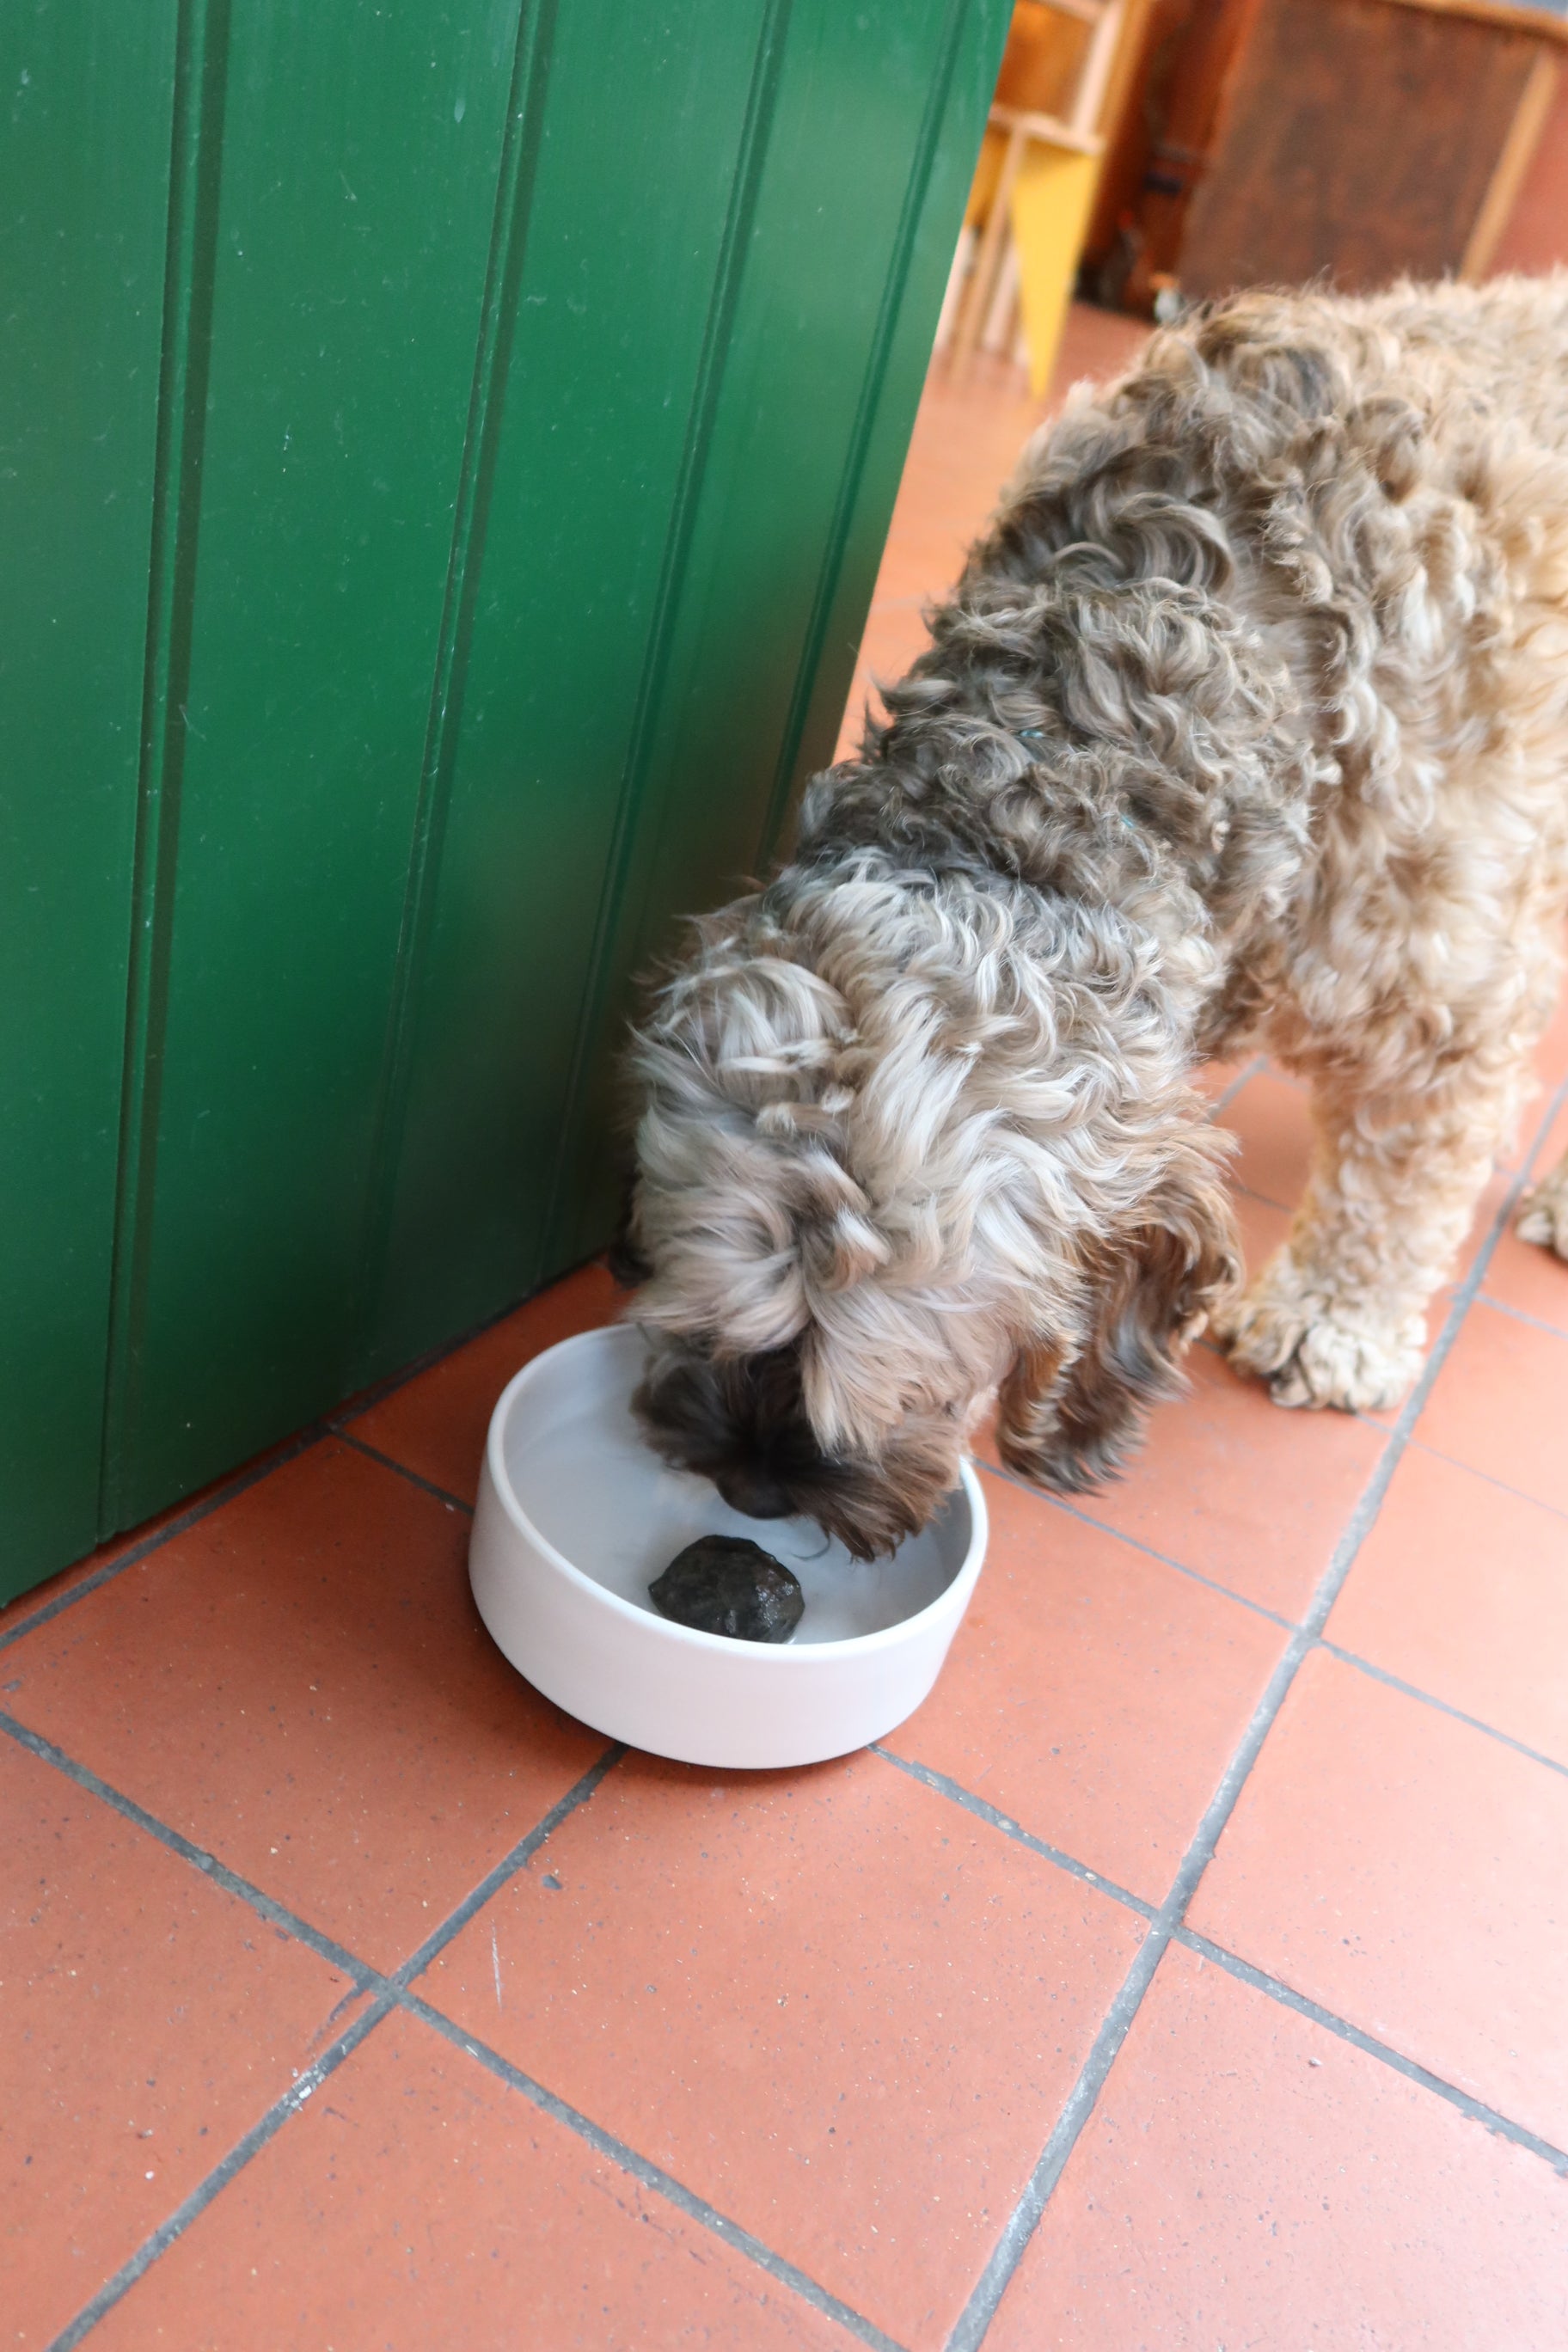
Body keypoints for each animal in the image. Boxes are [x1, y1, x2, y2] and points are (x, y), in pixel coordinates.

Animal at [606, 279, 1568, 1561]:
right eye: (714, 1318)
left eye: (905, 1380)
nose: (755, 1487)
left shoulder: (1420, 960)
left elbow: (1410, 1147)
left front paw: (1337, 1317)